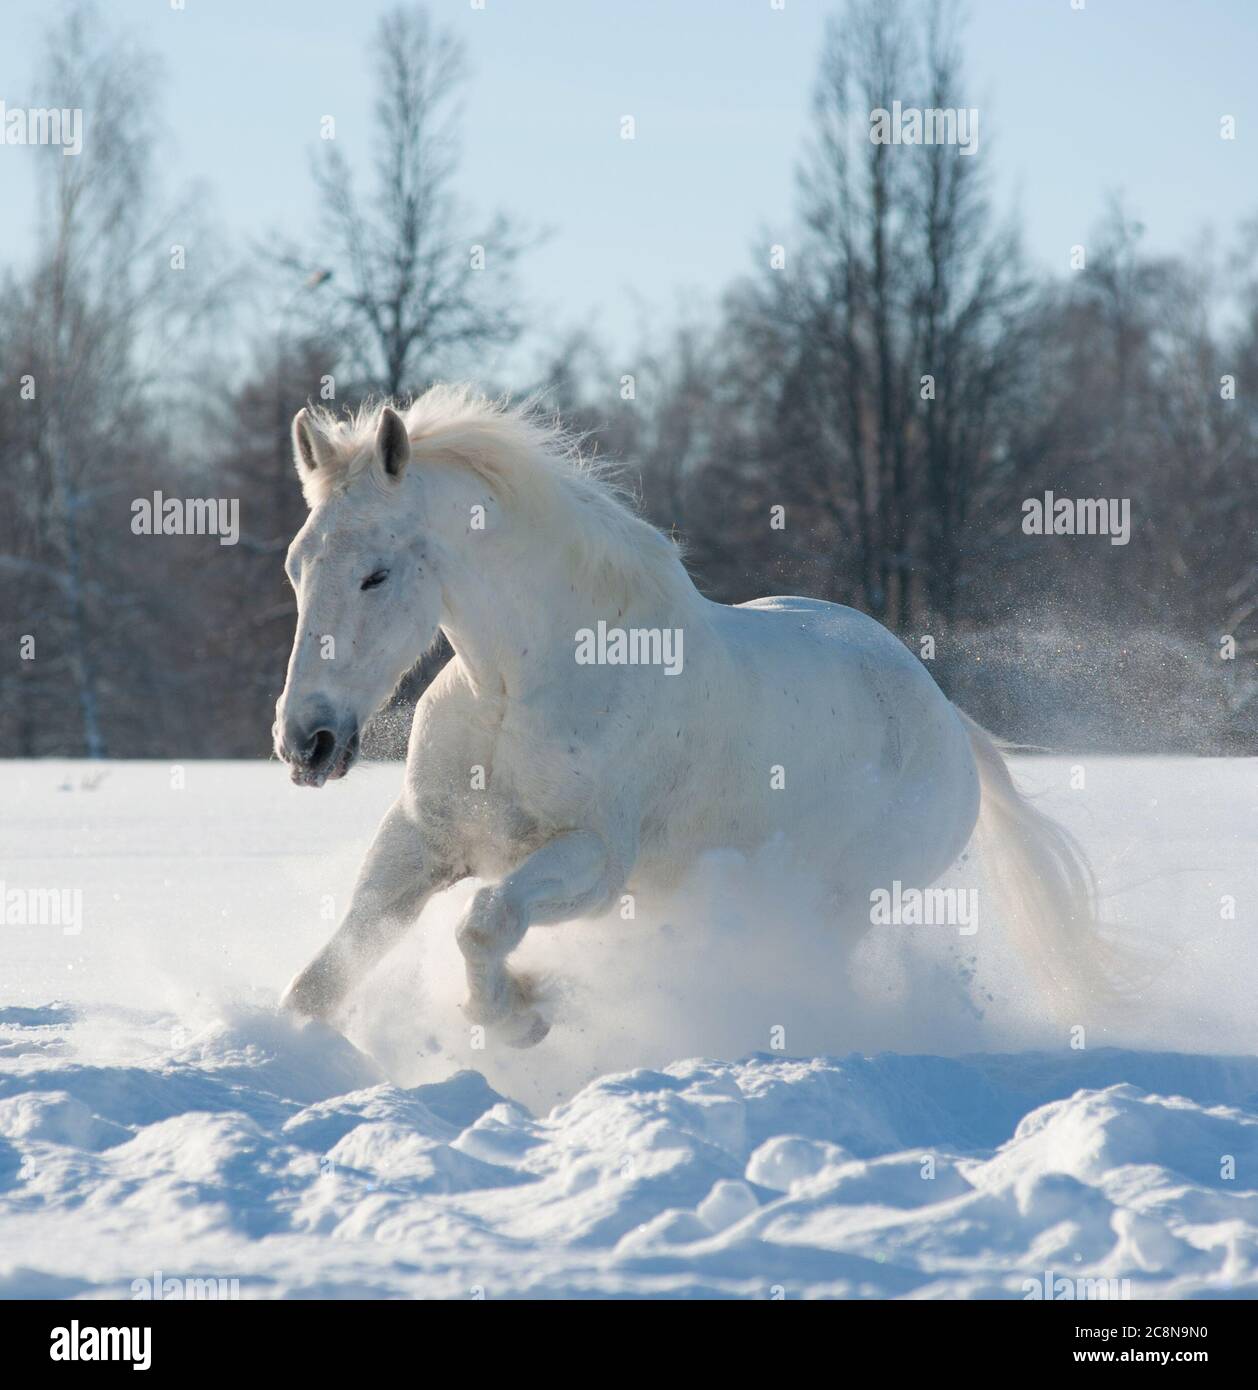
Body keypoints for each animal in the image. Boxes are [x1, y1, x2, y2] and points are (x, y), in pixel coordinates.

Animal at [274, 386, 1106, 1047]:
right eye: (296, 564)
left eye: (376, 574)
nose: (305, 740)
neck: (516, 689)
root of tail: (946, 720)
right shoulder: (422, 840)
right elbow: (321, 980)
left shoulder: (598, 860)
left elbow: (485, 922)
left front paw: (523, 1012)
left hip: (839, 906)